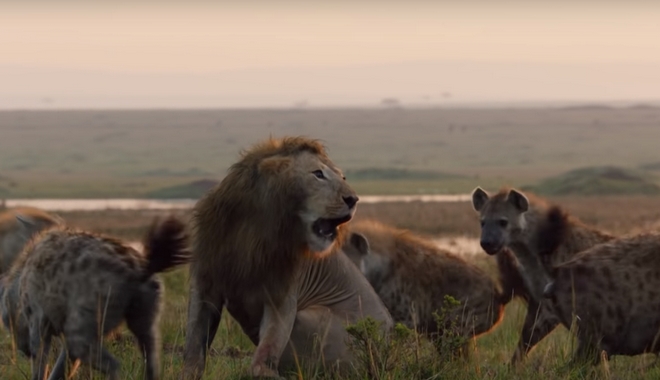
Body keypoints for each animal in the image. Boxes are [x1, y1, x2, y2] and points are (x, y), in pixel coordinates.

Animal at [180, 136, 392, 378]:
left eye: (343, 177)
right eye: (318, 174)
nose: (353, 199)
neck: (253, 230)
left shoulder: (282, 295)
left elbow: (266, 351)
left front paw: (265, 372)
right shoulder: (205, 282)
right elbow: (194, 344)